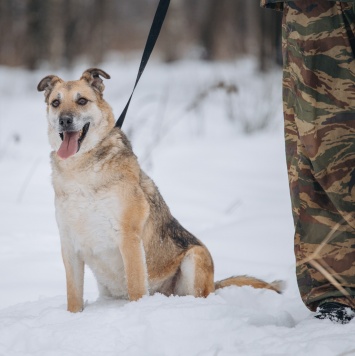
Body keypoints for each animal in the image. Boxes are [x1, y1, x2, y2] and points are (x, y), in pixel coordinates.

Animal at [37, 67, 284, 312]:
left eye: (81, 101)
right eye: (56, 102)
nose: (65, 120)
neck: (81, 170)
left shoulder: (128, 238)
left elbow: (136, 287)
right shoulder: (69, 245)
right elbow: (73, 297)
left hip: (195, 257)